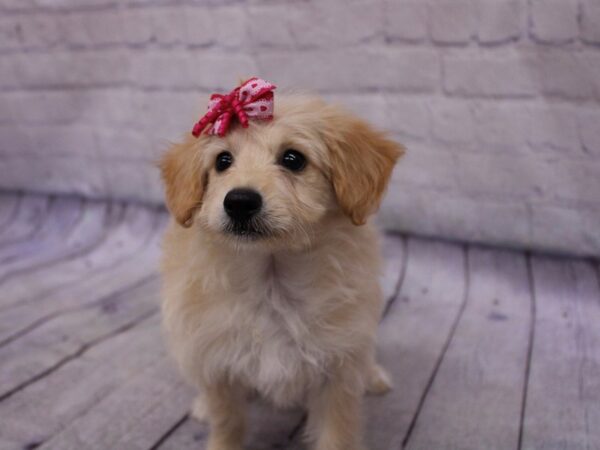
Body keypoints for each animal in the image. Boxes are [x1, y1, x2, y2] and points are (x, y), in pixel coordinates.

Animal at [158, 89, 404, 450]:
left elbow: (338, 433)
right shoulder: (218, 364)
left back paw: (372, 376)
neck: (271, 279)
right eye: (222, 161)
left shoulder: (338, 369)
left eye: (293, 159)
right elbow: (227, 422)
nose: (239, 201)